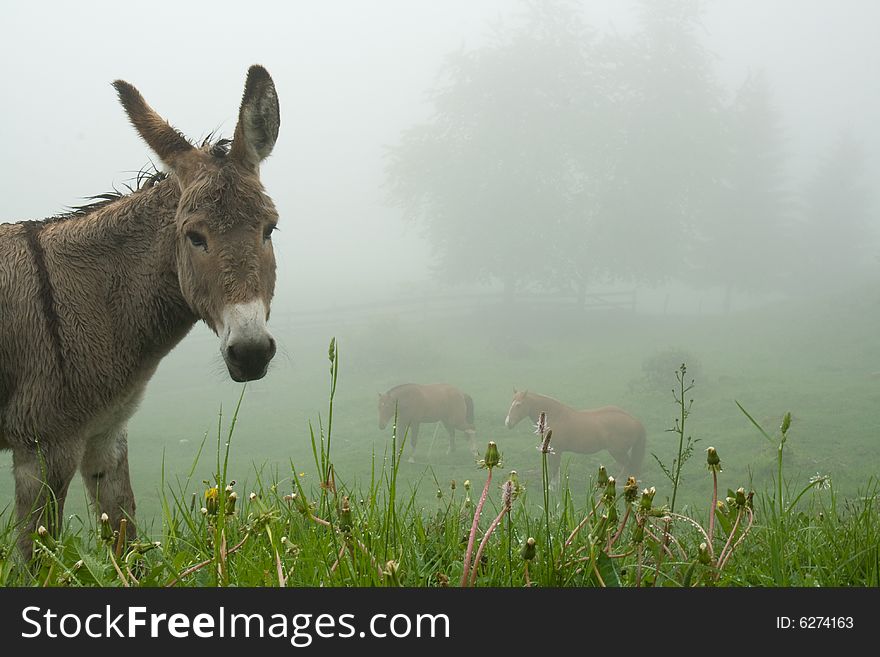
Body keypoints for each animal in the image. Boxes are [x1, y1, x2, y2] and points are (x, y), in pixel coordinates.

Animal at [0, 65, 280, 552]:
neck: (91, 297)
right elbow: (35, 555)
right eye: (194, 236)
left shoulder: (107, 435)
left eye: (270, 229)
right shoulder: (43, 446)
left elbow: (126, 540)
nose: (250, 353)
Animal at [506, 390, 644, 482]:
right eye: (511, 403)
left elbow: (554, 469)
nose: (508, 423)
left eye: (518, 405)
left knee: (628, 465)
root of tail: (635, 421)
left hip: (617, 452)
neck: (556, 416)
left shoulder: (556, 450)